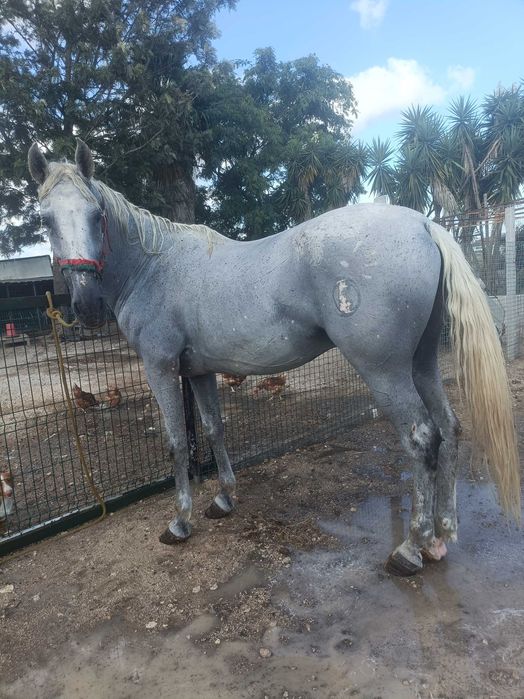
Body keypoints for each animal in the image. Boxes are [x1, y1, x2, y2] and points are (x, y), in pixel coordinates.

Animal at [28, 139, 520, 576]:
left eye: (97, 215)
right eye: (46, 220)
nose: (86, 306)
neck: (155, 266)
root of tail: (422, 224)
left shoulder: (161, 369)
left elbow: (176, 443)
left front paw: (180, 521)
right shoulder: (200, 372)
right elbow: (213, 429)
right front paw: (224, 499)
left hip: (386, 372)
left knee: (422, 438)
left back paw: (412, 548)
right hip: (422, 363)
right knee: (450, 428)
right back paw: (441, 536)